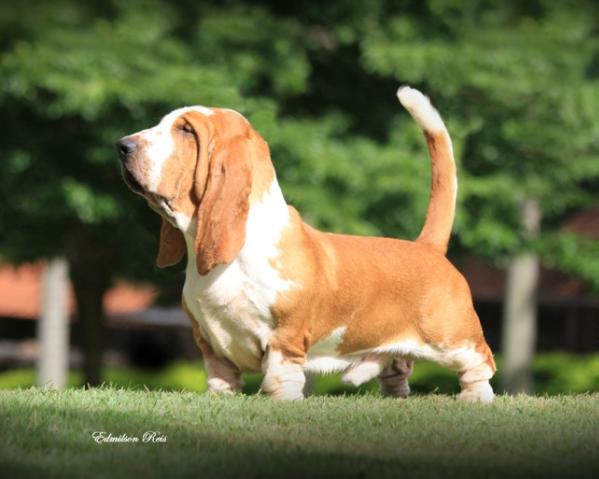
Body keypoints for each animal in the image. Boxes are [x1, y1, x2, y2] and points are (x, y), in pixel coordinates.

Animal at [117, 86, 496, 402]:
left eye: (186, 130)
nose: (122, 146)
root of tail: (427, 247)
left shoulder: (285, 338)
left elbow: (280, 376)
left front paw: (282, 400)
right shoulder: (208, 339)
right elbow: (220, 375)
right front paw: (221, 397)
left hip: (452, 338)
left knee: (481, 363)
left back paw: (476, 397)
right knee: (398, 370)